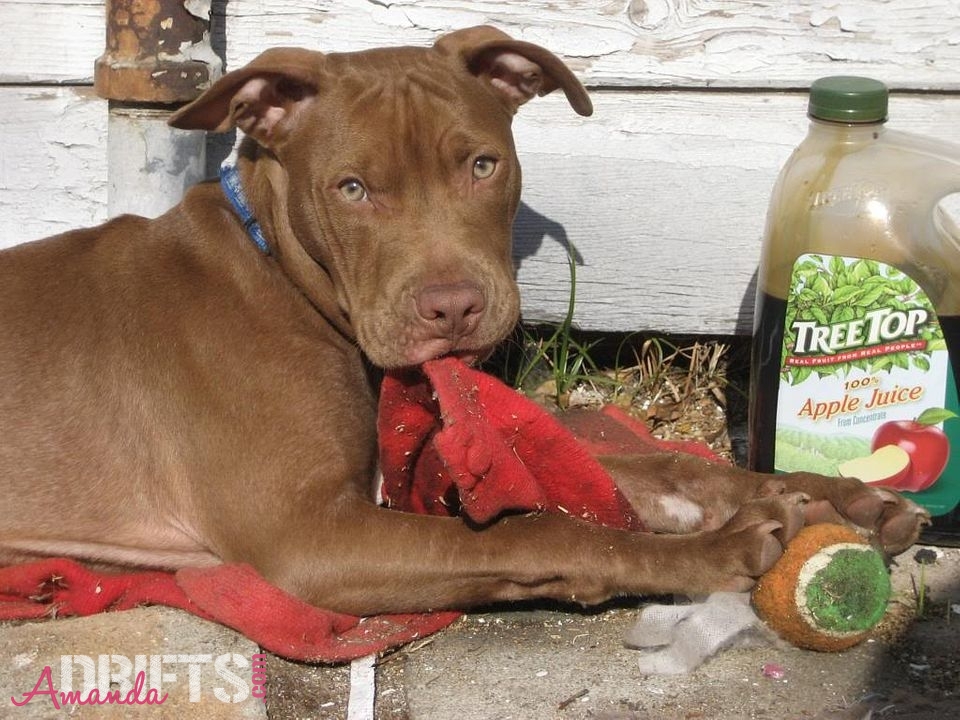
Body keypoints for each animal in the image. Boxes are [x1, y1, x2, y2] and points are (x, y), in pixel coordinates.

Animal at [0, 26, 928, 617]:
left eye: (483, 165)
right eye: (351, 188)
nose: (453, 307)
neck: (278, 269)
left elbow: (653, 467)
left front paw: (834, 496)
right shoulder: (309, 535)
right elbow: (546, 532)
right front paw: (715, 553)